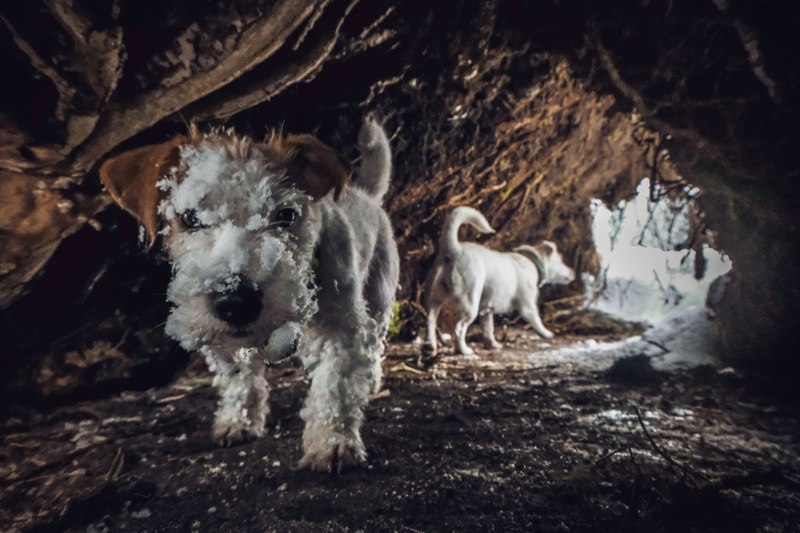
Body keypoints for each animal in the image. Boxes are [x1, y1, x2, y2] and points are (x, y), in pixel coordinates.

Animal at [100, 115, 400, 470]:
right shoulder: (227, 341)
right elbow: (239, 379)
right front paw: (238, 420)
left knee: (375, 344)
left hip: (379, 298)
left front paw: (332, 443)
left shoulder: (340, 328)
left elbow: (334, 388)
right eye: (190, 218)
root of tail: (367, 195)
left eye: (286, 215)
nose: (237, 303)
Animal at [424, 206, 576, 356]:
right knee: (459, 328)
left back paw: (431, 347)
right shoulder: (528, 306)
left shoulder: (486, 309)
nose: (574, 273)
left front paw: (492, 344)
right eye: (562, 260)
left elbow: (488, 328)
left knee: (431, 320)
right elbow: (536, 320)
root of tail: (454, 250)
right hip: (470, 302)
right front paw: (546, 333)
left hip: (436, 297)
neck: (533, 261)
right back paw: (464, 350)